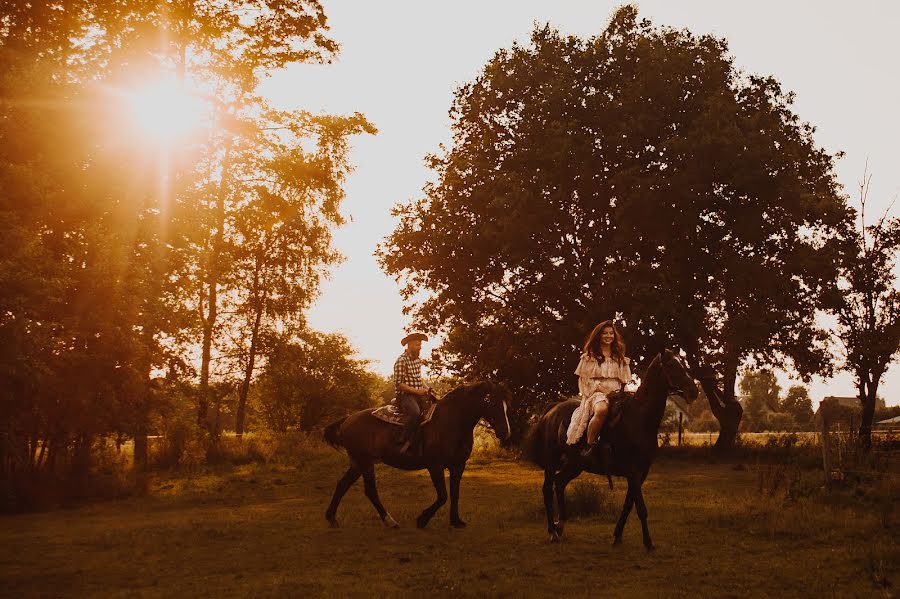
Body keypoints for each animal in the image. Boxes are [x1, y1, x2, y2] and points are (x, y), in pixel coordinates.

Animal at [324, 384, 510, 528]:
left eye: (506, 403)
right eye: (492, 402)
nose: (505, 432)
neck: (450, 422)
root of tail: (348, 419)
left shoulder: (458, 465)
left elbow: (455, 493)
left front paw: (456, 521)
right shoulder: (435, 466)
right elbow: (443, 496)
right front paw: (422, 519)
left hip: (358, 464)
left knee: (342, 485)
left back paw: (332, 518)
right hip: (365, 463)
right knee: (370, 491)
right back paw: (390, 521)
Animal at [528, 350, 696, 552]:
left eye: (683, 364)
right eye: (671, 365)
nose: (693, 391)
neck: (640, 419)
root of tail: (551, 410)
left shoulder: (641, 473)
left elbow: (628, 505)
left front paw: (617, 536)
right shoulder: (633, 471)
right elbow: (641, 508)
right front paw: (648, 542)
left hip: (575, 465)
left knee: (559, 483)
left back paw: (560, 526)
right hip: (552, 462)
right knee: (547, 489)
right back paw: (553, 531)